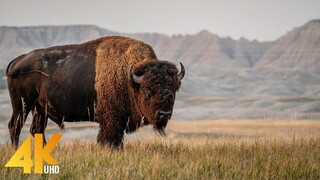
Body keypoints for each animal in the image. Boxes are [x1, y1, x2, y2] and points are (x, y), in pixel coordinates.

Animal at [5, 35, 185, 149]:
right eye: (148, 90)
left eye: (174, 89)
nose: (164, 114)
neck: (130, 79)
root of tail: (17, 60)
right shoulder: (111, 122)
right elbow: (110, 140)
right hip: (22, 105)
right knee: (15, 126)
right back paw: (16, 151)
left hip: (39, 108)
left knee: (36, 129)